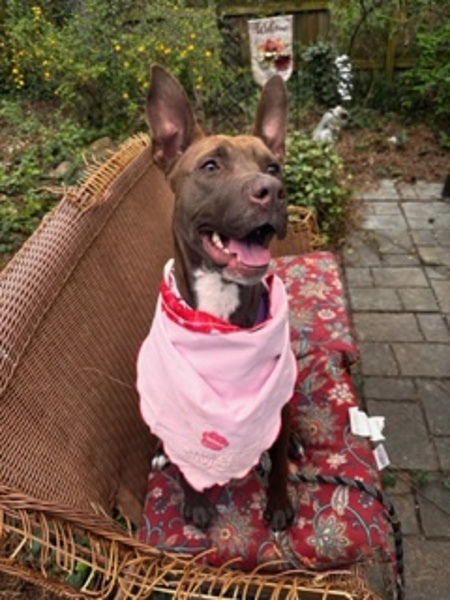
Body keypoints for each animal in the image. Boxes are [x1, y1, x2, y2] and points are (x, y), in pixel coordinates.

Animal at [141, 65, 296, 532]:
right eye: (211, 166)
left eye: (274, 166)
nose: (272, 190)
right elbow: (184, 457)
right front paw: (195, 500)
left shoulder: (276, 402)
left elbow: (279, 464)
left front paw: (278, 502)